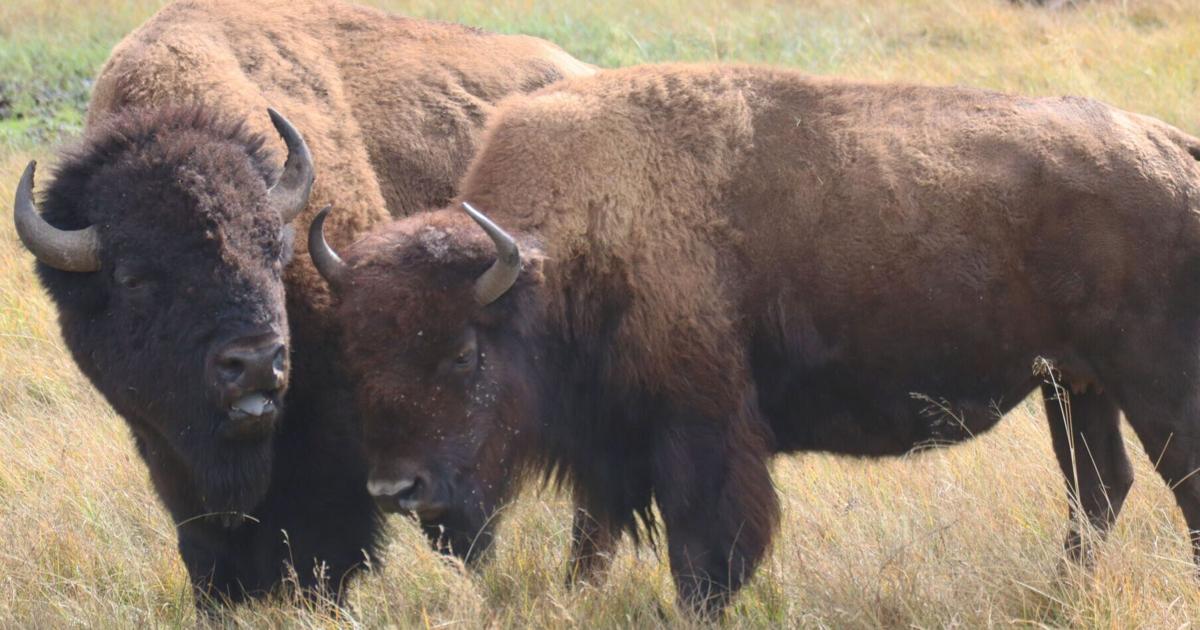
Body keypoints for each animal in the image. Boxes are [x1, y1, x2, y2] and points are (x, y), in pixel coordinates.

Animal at [311, 64, 1200, 614]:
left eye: (463, 354)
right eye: (353, 356)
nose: (395, 490)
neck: (560, 254)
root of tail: (1173, 151)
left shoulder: (699, 432)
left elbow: (706, 553)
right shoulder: (611, 448)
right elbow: (591, 544)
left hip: (1151, 385)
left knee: (1172, 486)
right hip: (1073, 387)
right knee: (1099, 488)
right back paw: (1057, 597)